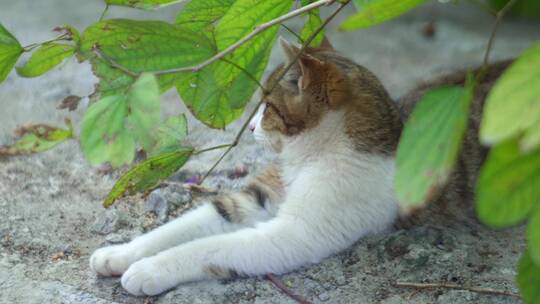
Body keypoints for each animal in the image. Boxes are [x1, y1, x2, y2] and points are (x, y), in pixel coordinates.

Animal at [89, 36, 510, 296]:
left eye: (268, 107)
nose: (252, 128)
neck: (311, 156)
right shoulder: (253, 199)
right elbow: (178, 228)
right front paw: (121, 254)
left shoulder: (296, 234)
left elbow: (207, 247)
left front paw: (149, 270)